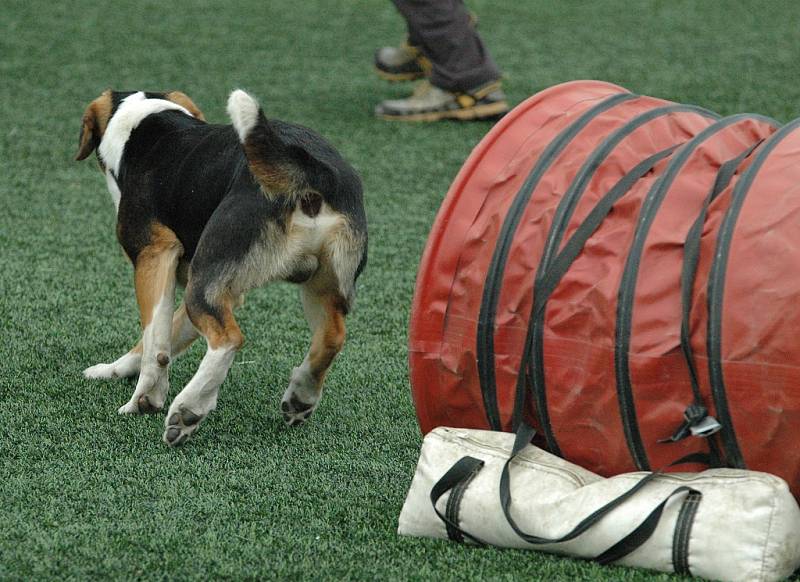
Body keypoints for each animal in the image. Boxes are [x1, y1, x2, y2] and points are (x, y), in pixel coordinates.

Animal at [75, 90, 368, 448]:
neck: (145, 121)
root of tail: (312, 170)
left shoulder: (154, 255)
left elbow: (155, 342)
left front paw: (144, 398)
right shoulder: (220, 287)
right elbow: (164, 337)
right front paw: (113, 371)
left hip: (205, 280)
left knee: (228, 339)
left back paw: (189, 408)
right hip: (317, 285)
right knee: (332, 338)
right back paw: (301, 396)